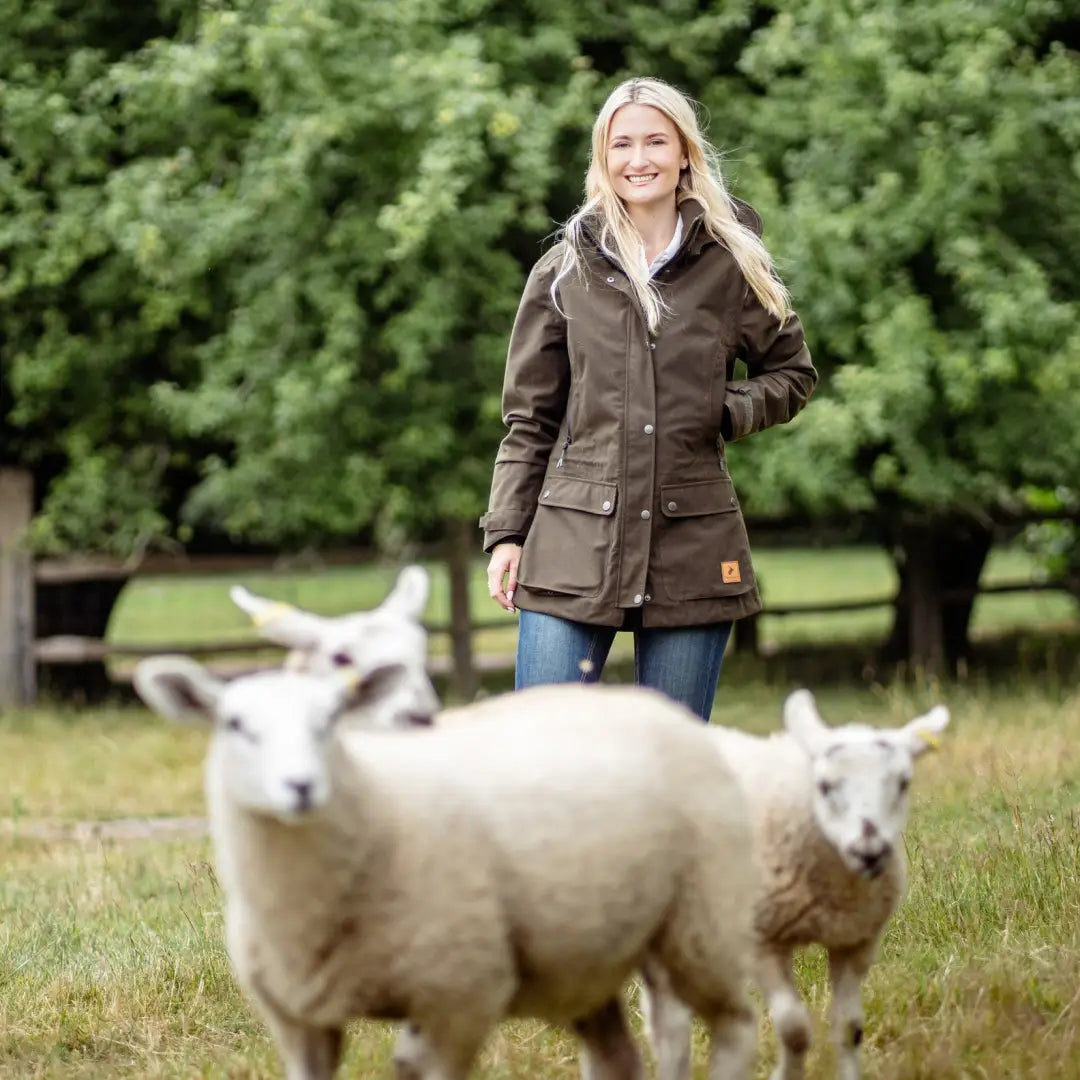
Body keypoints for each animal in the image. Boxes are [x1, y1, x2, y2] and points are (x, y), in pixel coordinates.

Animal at [132, 648, 760, 1080]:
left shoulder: (458, 996)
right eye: (234, 724)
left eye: (331, 719)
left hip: (697, 920)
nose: (301, 786)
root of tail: (647, 701)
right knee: (624, 1055)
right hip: (594, 951)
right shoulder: (300, 1020)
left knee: (722, 1026)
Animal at [635, 686, 950, 1080]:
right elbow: (794, 1027)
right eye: (825, 786)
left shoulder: (855, 941)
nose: (870, 851)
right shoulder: (761, 941)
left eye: (903, 783)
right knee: (672, 1022)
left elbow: (849, 1028)